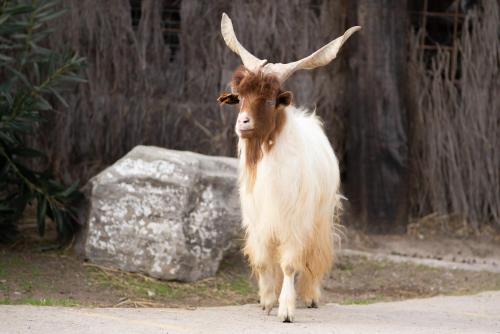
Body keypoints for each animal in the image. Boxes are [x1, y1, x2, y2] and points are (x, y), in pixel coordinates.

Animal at [218, 13, 360, 324]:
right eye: (240, 97)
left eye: (270, 100)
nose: (242, 123)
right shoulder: (259, 222)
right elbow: (263, 262)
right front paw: (267, 300)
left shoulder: (295, 223)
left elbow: (289, 265)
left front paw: (285, 310)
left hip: (319, 217)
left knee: (313, 256)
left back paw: (310, 296)